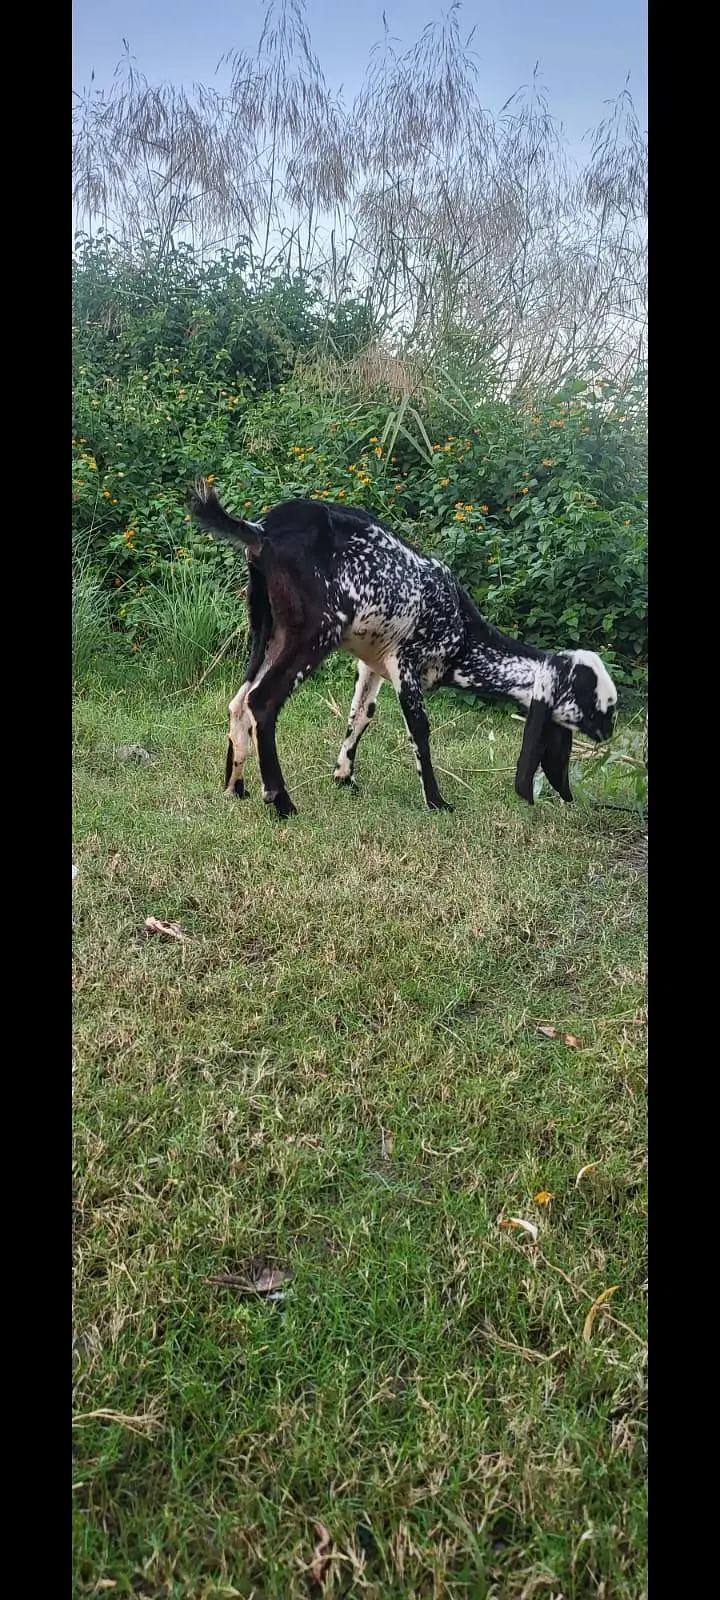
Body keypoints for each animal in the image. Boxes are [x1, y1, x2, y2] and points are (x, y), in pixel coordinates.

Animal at [189, 484, 617, 818]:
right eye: (599, 700)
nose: (608, 733)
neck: (463, 629)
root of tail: (262, 531)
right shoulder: (406, 662)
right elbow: (420, 728)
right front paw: (436, 801)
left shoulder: (373, 665)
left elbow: (361, 715)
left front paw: (343, 775)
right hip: (314, 632)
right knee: (262, 700)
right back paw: (280, 801)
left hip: (267, 629)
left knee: (239, 700)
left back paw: (235, 786)